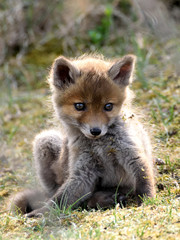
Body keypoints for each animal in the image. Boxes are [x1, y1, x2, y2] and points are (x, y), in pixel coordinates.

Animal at [10, 53, 155, 217]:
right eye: (79, 106)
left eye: (108, 106)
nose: (96, 130)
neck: (100, 146)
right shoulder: (83, 170)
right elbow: (60, 199)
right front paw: (43, 212)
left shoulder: (130, 152)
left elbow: (144, 179)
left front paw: (148, 202)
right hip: (45, 141)